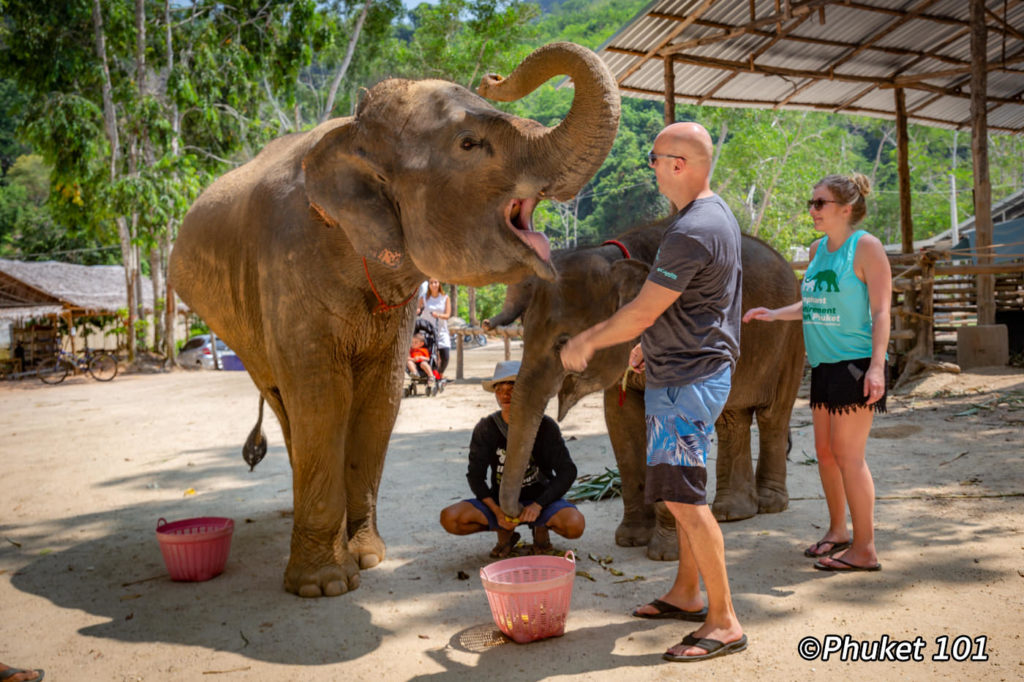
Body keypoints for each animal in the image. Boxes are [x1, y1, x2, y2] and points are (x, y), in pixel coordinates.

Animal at [169, 42, 614, 593]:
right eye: (470, 143)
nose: (492, 77)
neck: (355, 135)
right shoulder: (287, 269)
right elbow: (323, 396)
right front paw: (324, 585)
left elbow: (379, 399)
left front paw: (368, 558)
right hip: (237, 326)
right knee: (288, 402)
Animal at [487, 218, 806, 557]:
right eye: (524, 334)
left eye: (563, 342)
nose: (521, 513)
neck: (616, 256)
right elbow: (621, 422)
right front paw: (631, 540)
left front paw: (665, 553)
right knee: (733, 418)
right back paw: (732, 513)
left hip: (793, 338)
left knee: (773, 415)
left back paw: (769, 505)